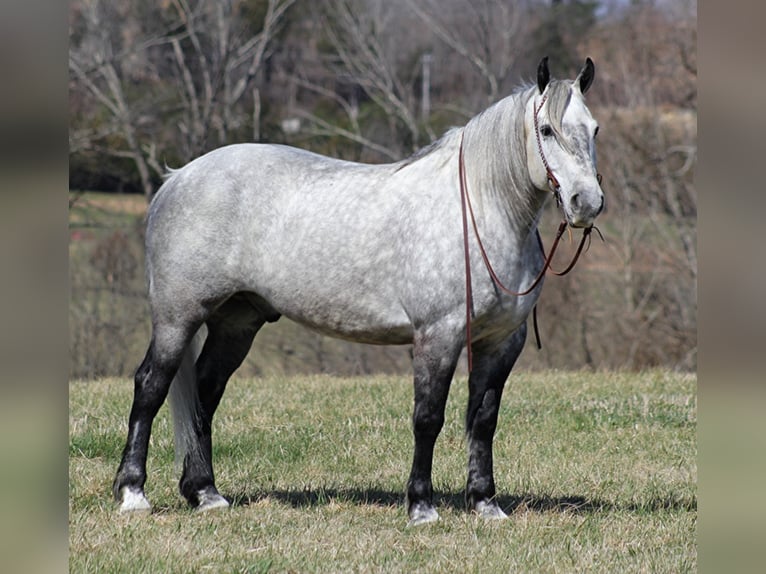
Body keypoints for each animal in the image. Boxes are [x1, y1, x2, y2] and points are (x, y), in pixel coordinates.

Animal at [114, 57, 608, 528]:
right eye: (546, 129)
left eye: (594, 129)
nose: (586, 203)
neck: (480, 212)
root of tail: (177, 178)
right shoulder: (438, 336)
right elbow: (428, 418)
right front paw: (421, 507)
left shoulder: (502, 341)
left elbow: (483, 420)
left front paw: (485, 503)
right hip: (178, 318)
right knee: (151, 386)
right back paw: (133, 494)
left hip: (236, 323)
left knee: (204, 392)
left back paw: (206, 494)